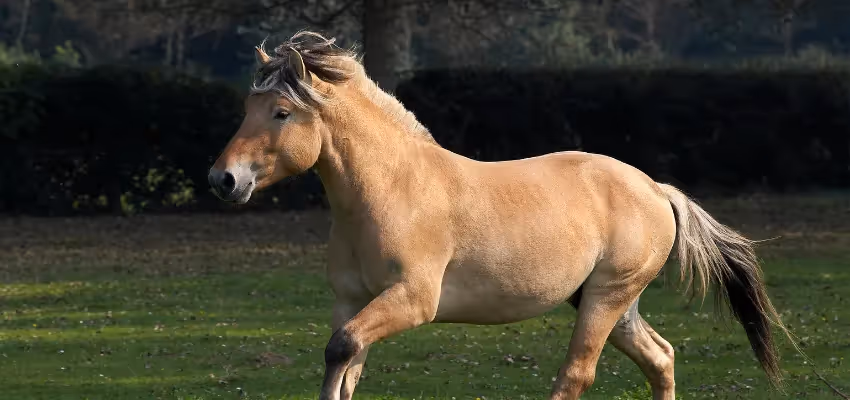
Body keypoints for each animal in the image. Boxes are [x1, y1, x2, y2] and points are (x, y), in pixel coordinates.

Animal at [207, 30, 793, 400]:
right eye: (246, 109)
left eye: (282, 113)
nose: (224, 180)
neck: (393, 189)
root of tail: (655, 188)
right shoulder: (351, 301)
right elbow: (343, 365)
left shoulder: (411, 300)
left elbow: (343, 348)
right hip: (607, 300)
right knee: (661, 358)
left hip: (607, 298)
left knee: (577, 375)